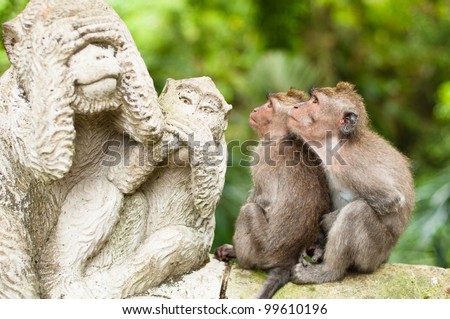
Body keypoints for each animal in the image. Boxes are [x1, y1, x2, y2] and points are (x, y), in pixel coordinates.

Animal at [214, 90, 330, 300]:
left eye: (269, 105)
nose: (255, 109)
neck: (284, 137)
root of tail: (286, 260)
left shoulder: (265, 155)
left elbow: (264, 199)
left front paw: (231, 248)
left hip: (264, 249)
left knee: (249, 211)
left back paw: (240, 257)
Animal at [288, 82, 414, 284]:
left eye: (315, 101)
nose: (296, 106)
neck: (338, 144)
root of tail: (385, 258)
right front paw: (317, 244)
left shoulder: (349, 165)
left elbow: (390, 199)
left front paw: (327, 222)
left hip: (374, 253)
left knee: (356, 212)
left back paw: (327, 271)